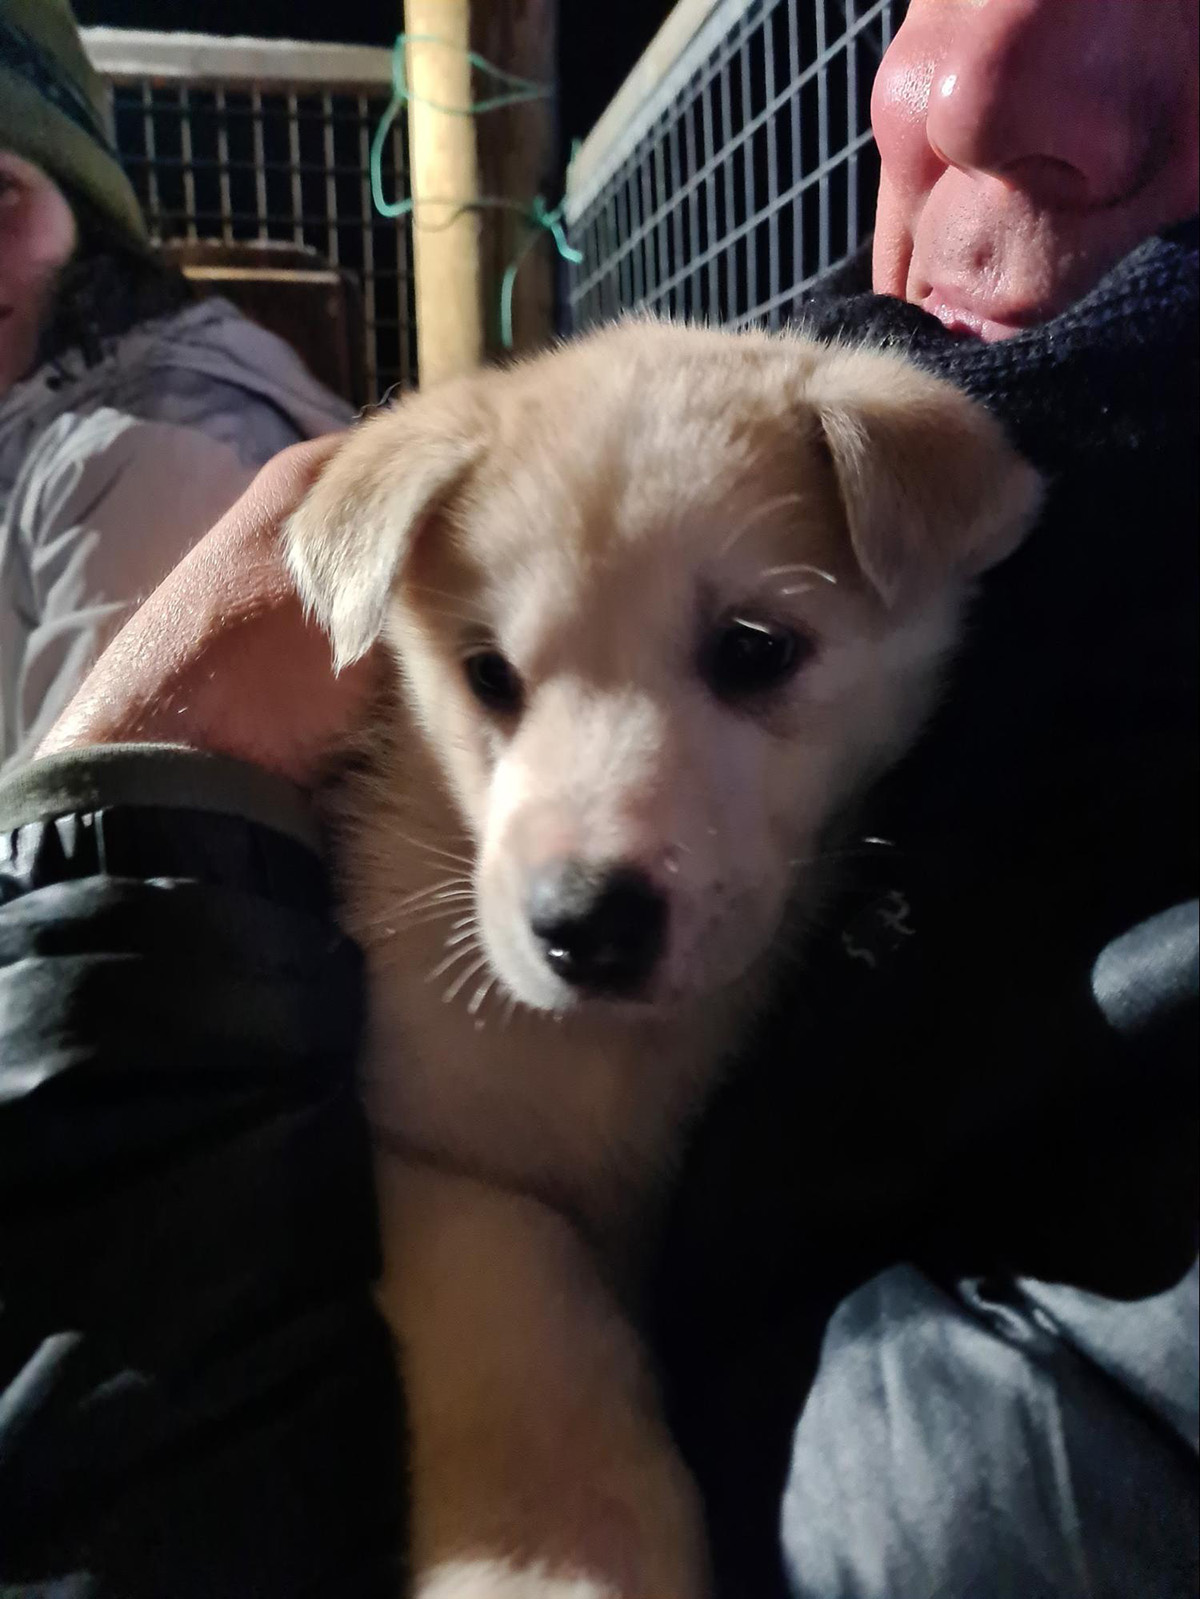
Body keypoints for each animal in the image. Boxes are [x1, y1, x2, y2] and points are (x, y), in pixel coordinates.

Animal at [284, 324, 1043, 1599]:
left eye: (753, 650)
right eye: (488, 675)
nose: (584, 925)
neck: (614, 1063)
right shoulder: (433, 1157)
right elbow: (531, 1299)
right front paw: (561, 1553)